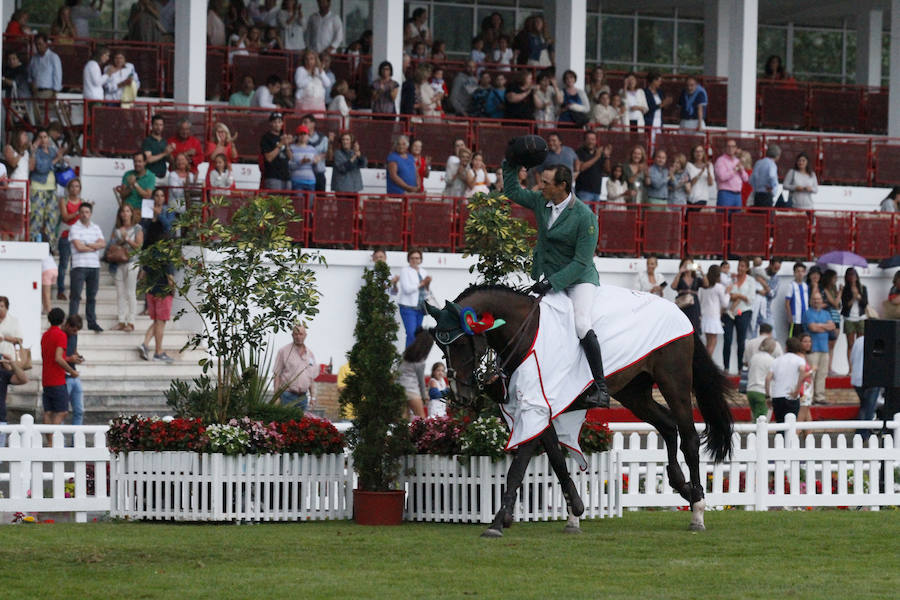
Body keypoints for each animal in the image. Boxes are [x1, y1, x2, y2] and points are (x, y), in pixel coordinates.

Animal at [428, 284, 732, 536]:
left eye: (459, 342)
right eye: (440, 345)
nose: (460, 395)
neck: (525, 332)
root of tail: (679, 312)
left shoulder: (535, 407)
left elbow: (518, 467)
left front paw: (497, 522)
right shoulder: (541, 408)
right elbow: (556, 459)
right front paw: (575, 510)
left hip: (674, 382)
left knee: (689, 438)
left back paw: (698, 511)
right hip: (634, 393)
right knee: (668, 425)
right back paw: (683, 487)